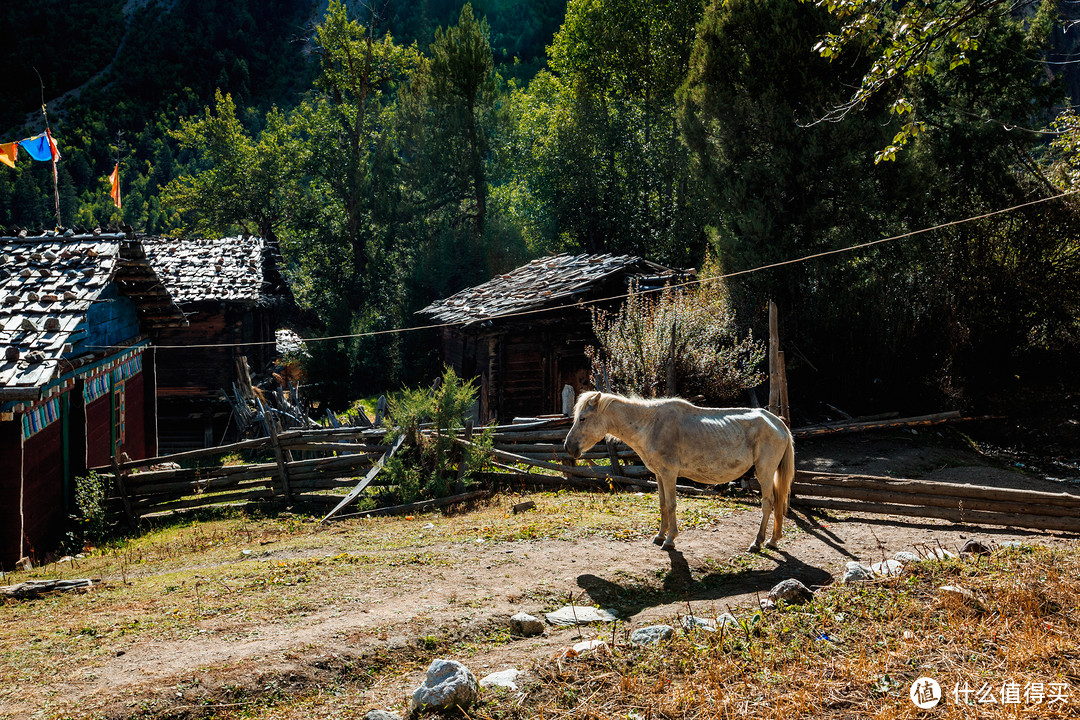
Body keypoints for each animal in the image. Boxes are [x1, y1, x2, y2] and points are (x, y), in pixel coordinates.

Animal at [565, 395, 794, 552]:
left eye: (583, 418)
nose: (568, 447)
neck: (650, 425)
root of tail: (778, 423)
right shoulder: (659, 475)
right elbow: (662, 505)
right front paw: (659, 535)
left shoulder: (669, 474)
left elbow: (672, 504)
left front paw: (669, 540)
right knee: (777, 503)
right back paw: (773, 540)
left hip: (764, 473)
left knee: (767, 503)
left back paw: (757, 542)